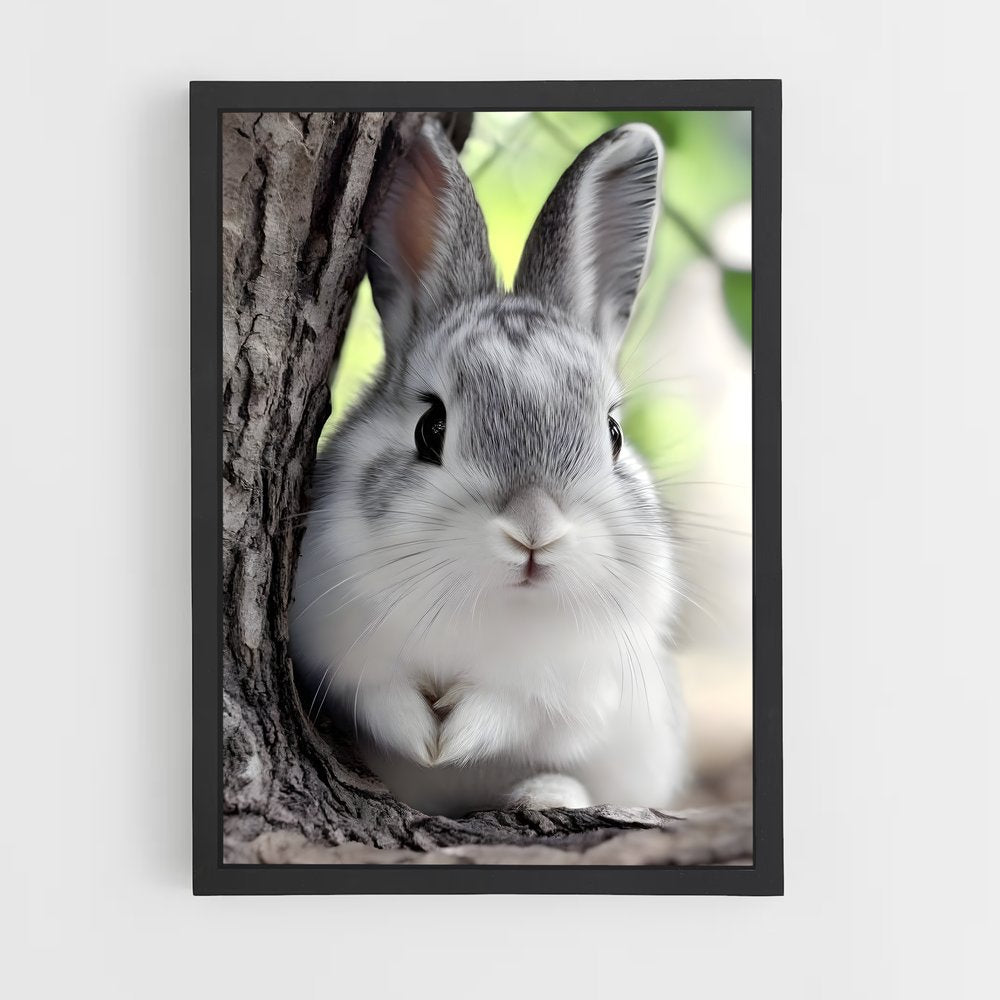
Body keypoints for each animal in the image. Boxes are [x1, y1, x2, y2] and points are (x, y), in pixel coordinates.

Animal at [289, 118, 686, 817]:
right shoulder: (332, 650)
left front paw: (455, 736)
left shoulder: (579, 688)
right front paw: (425, 738)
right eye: (431, 428)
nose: (534, 531)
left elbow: (515, 710)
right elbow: (378, 695)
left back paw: (547, 792)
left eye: (612, 435)